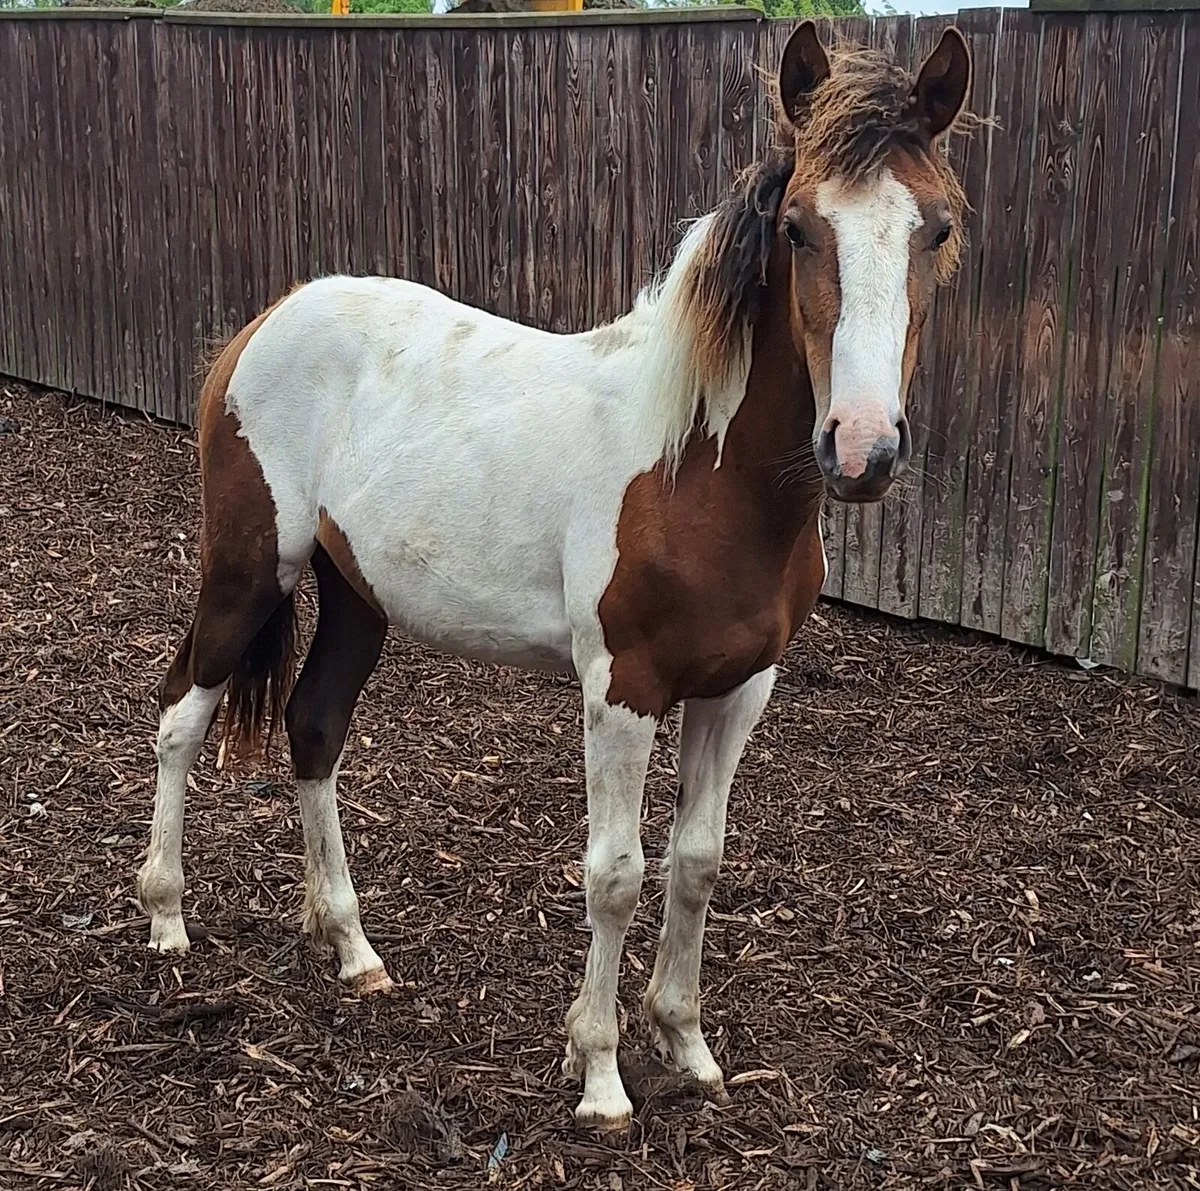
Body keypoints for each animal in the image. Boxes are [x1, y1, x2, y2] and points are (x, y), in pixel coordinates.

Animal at [137, 21, 972, 1131]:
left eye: (936, 229)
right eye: (798, 229)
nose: (863, 448)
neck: (696, 467)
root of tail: (266, 321)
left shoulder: (739, 691)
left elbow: (697, 862)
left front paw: (689, 1048)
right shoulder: (623, 690)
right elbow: (615, 875)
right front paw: (603, 1076)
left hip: (357, 597)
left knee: (313, 727)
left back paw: (354, 950)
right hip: (246, 573)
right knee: (180, 716)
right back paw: (166, 919)